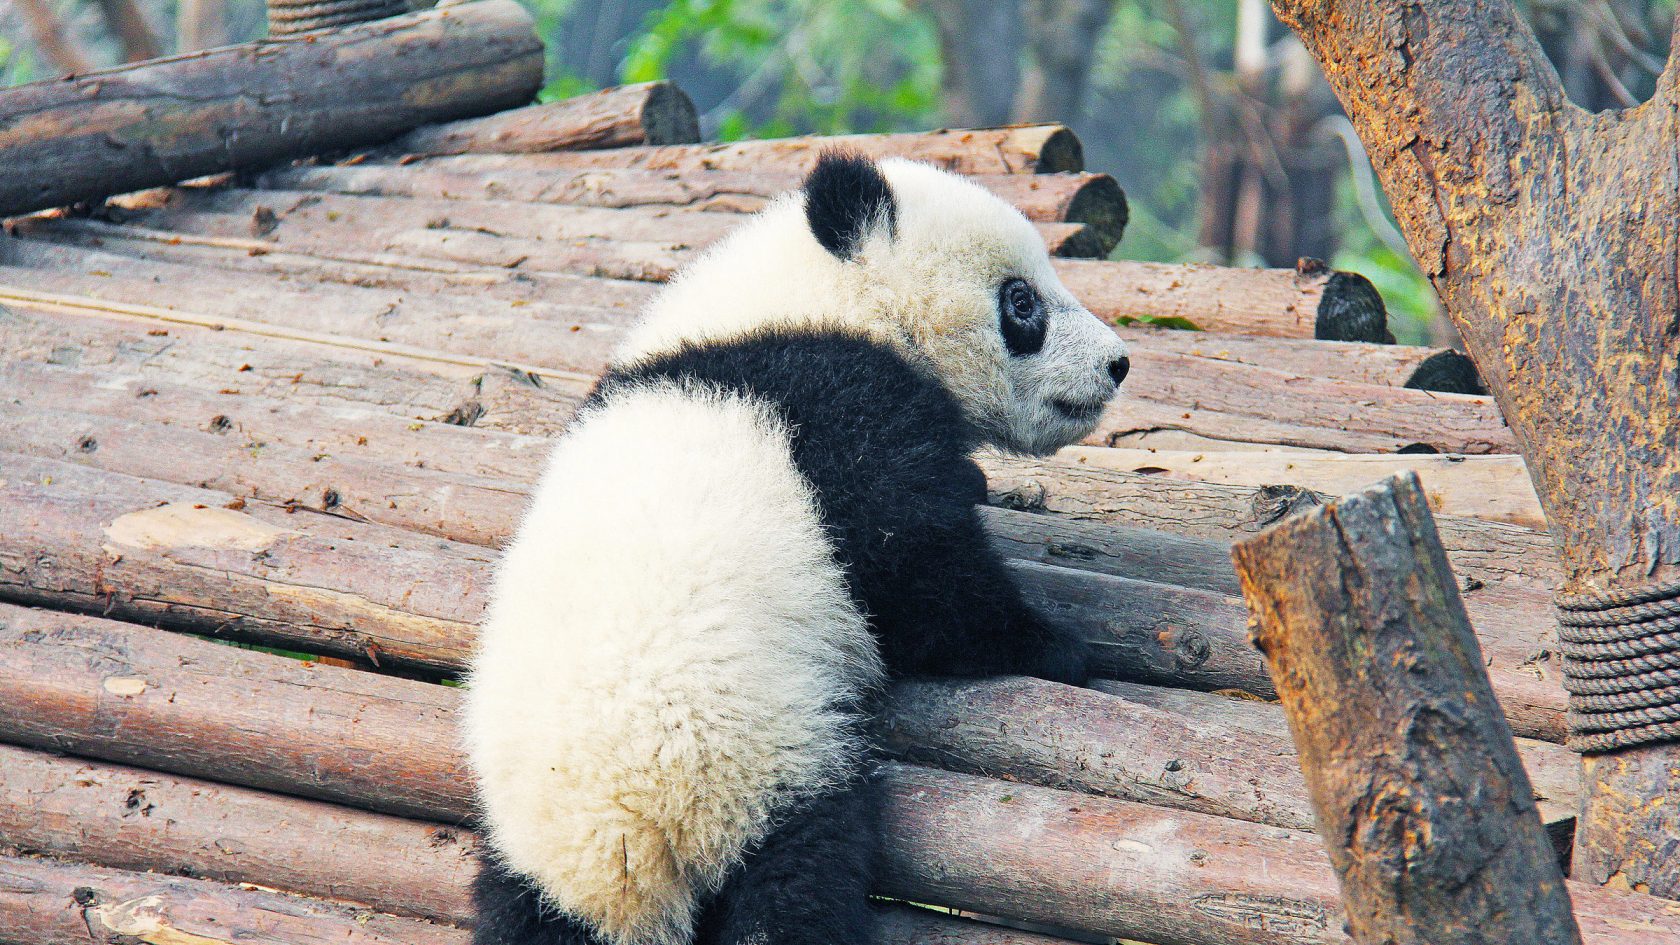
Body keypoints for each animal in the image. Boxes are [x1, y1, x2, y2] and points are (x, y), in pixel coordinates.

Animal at [463, 152, 1131, 945]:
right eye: (1022, 301)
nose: (1118, 364)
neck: (811, 299)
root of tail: (627, 839)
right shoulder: (837, 411)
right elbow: (920, 577)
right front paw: (1053, 643)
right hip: (762, 756)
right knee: (797, 879)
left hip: (535, 856)